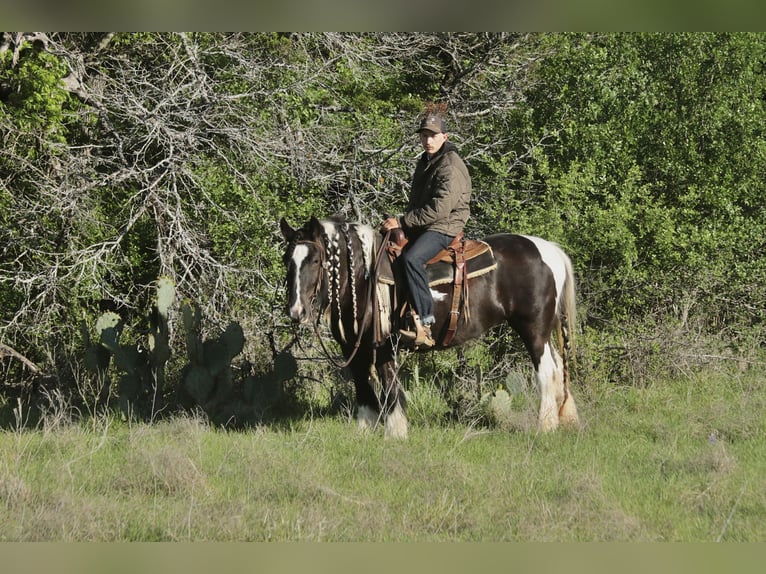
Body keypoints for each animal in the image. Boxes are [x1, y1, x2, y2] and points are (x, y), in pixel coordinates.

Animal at [279, 214, 580, 439]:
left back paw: (544, 427)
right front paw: (364, 433)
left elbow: (389, 387)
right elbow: (363, 388)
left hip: (533, 330)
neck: (364, 278)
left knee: (546, 372)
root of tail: (549, 250)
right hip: (544, 333)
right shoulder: (354, 348)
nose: (296, 311)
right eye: (287, 260)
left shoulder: (384, 345)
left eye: (315, 260)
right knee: (556, 370)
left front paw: (395, 433)